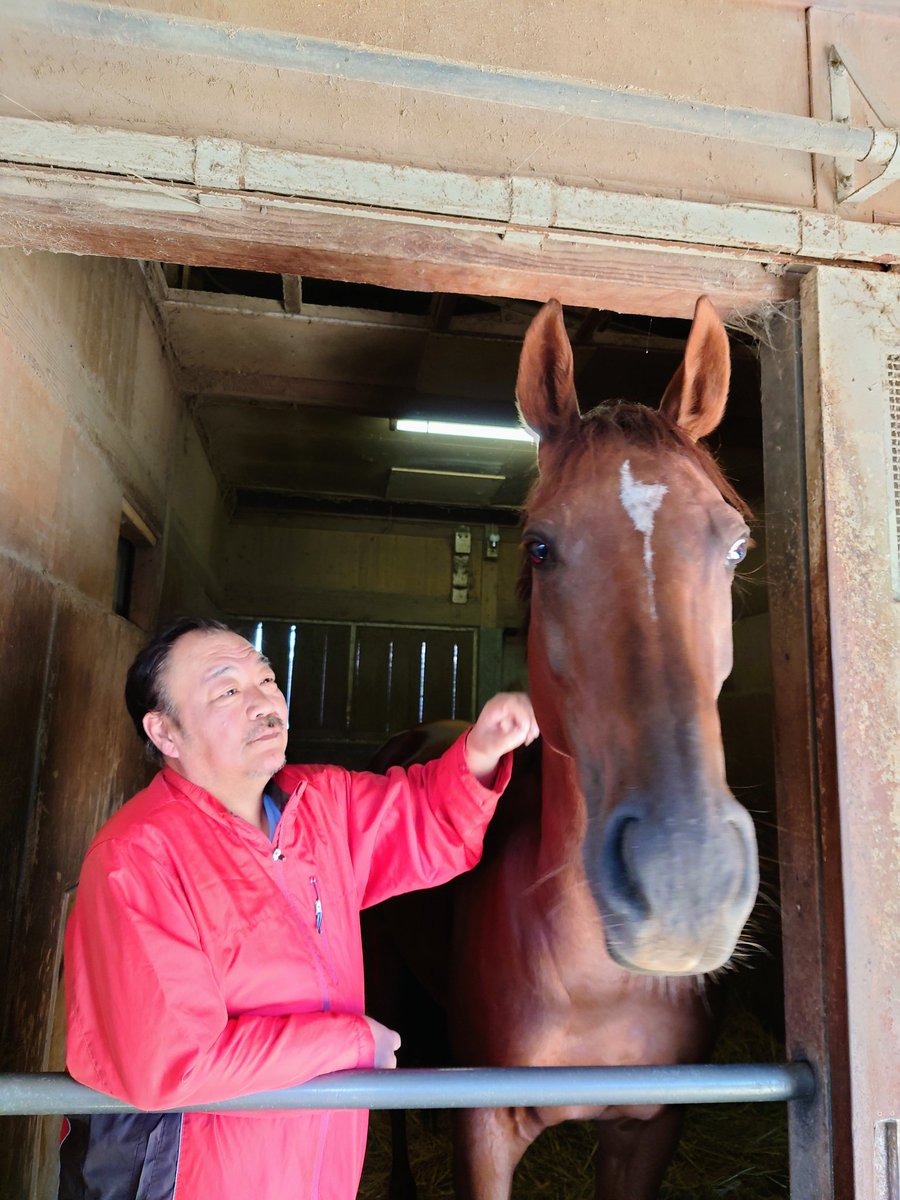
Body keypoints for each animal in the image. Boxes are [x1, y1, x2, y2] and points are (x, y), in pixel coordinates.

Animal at [362, 292, 758, 1200]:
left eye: (736, 546)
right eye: (540, 547)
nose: (685, 883)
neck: (596, 981)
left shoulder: (649, 1134)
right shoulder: (483, 1133)